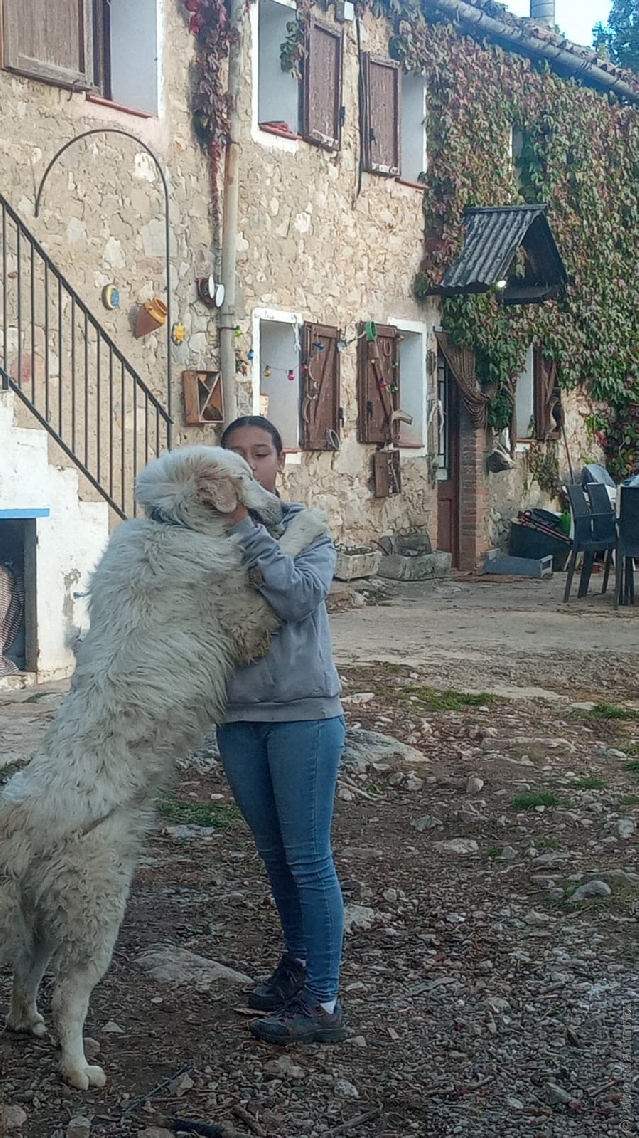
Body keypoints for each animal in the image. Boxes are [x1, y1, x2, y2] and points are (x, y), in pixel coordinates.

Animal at [0, 441, 327, 1083]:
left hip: (46, 915)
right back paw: (78, 1068)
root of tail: (19, 816)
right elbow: (287, 550)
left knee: (27, 972)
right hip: (96, 907)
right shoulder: (247, 615)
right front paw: (312, 520)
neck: (172, 524)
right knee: (68, 993)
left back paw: (28, 1024)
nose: (281, 504)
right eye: (249, 475)